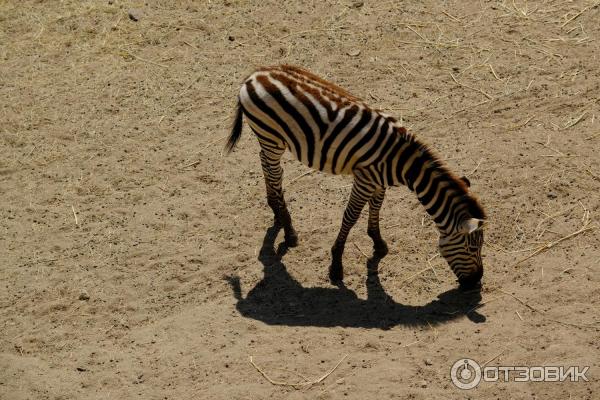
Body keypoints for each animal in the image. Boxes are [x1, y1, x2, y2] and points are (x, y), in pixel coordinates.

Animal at [225, 65, 488, 290]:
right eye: (472, 247)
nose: (477, 281)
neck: (404, 164)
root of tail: (255, 74)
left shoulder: (378, 181)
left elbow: (377, 207)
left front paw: (378, 242)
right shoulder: (364, 179)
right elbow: (350, 217)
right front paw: (336, 266)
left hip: (270, 140)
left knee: (267, 166)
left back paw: (276, 211)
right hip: (271, 136)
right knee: (273, 172)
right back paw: (289, 230)